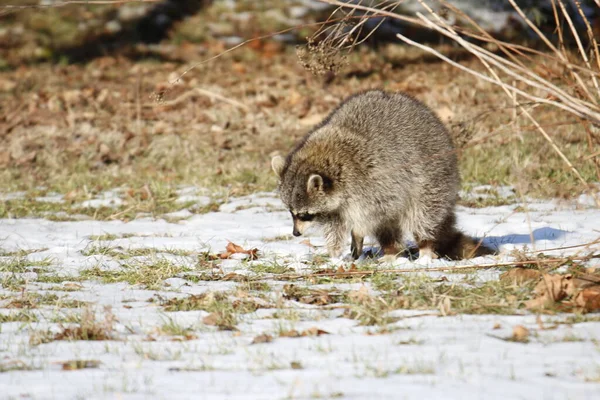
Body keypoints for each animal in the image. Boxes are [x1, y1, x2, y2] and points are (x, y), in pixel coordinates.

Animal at [272, 89, 492, 260]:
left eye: (304, 215)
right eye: (291, 212)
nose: (295, 233)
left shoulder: (375, 180)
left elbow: (375, 212)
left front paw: (357, 232)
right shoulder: (334, 208)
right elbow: (336, 226)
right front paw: (335, 251)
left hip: (433, 177)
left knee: (423, 215)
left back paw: (424, 247)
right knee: (387, 228)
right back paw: (391, 250)